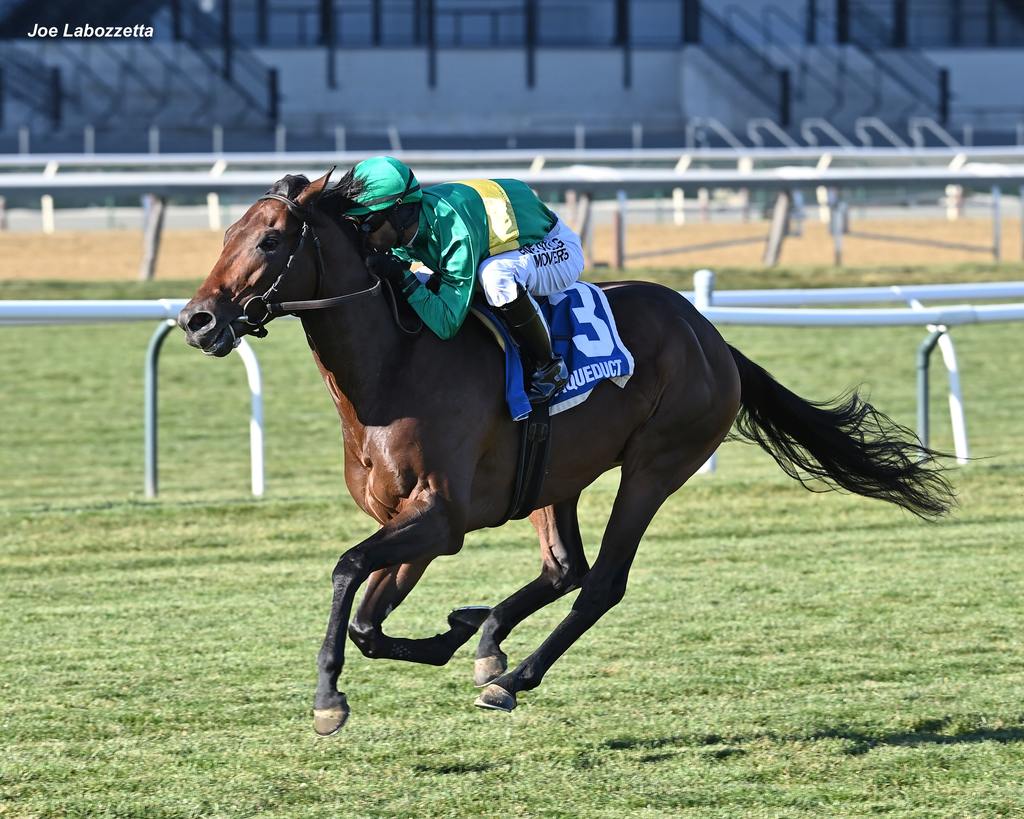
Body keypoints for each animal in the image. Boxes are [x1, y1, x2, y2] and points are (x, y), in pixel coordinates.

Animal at [176, 170, 950, 737]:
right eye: (227, 233)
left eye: (271, 241)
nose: (198, 319)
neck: (393, 368)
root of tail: (711, 336)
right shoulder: (415, 520)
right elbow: (369, 618)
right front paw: (456, 633)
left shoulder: (441, 518)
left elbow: (346, 571)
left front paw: (331, 700)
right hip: (555, 476)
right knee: (563, 567)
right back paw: (490, 639)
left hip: (656, 464)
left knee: (601, 581)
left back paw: (513, 676)